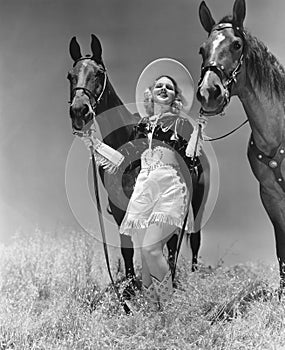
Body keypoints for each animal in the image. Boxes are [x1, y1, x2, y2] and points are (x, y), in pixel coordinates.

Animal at [67, 34, 207, 290]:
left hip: (197, 200)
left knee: (192, 240)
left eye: (99, 73)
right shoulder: (121, 209)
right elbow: (128, 249)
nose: (80, 111)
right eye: (70, 76)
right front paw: (131, 289)